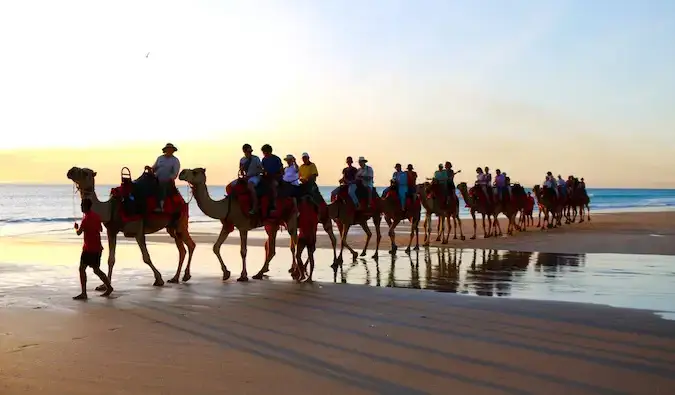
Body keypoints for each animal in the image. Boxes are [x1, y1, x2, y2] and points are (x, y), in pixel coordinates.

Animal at [66, 166, 195, 290]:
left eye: (85, 173)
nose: (70, 171)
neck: (110, 208)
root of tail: (182, 200)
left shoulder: (138, 231)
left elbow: (146, 257)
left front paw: (159, 279)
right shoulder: (111, 231)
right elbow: (111, 259)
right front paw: (104, 286)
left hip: (180, 221)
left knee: (190, 245)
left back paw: (186, 276)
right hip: (171, 227)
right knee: (182, 249)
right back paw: (175, 278)